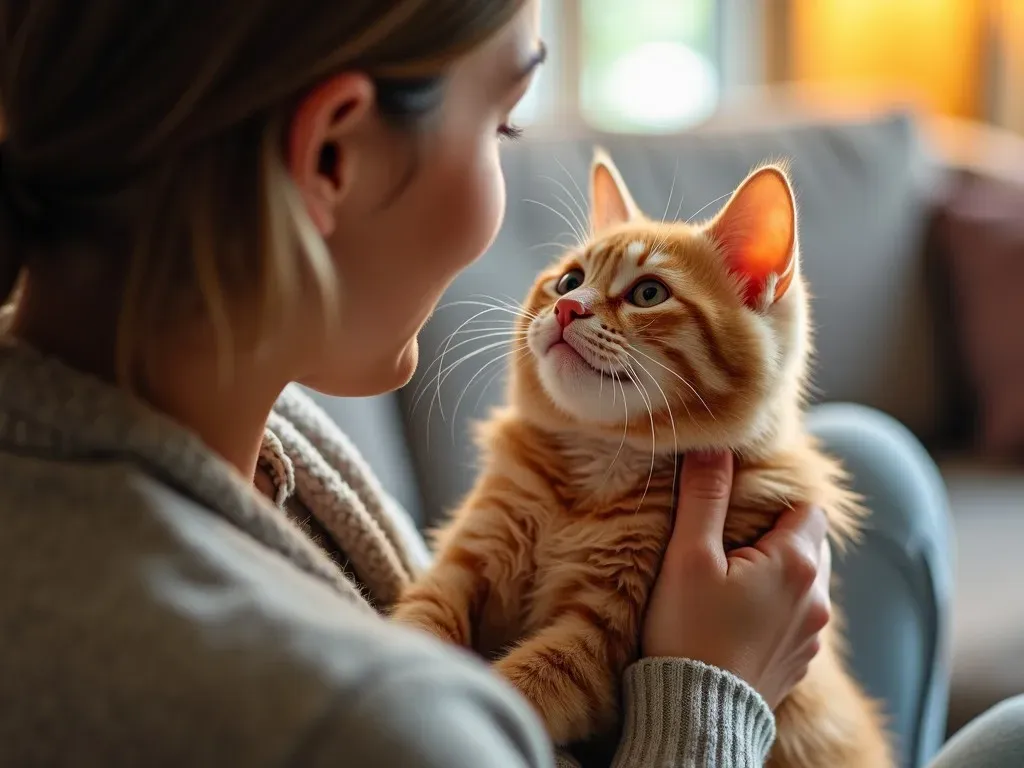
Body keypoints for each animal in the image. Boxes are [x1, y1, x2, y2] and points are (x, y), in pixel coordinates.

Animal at [395, 150, 892, 768]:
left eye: (649, 294)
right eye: (570, 280)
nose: (567, 308)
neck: (593, 472)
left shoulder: (600, 641)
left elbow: (517, 688)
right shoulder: (466, 562)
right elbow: (419, 621)